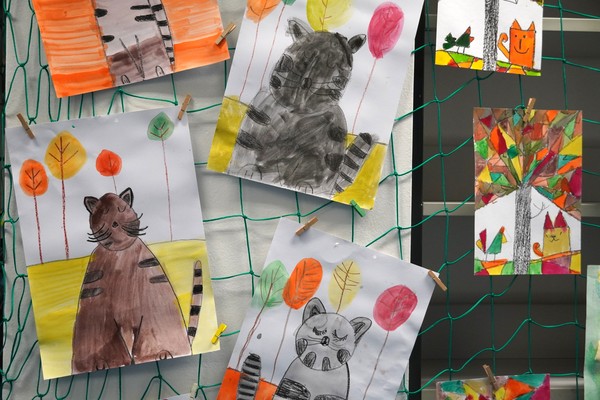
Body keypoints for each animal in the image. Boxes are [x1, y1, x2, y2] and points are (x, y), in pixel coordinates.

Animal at [71, 187, 203, 374]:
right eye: (103, 213)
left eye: (122, 209)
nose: (115, 223)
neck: (120, 255)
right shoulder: (97, 314)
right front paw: (102, 362)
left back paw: (162, 354)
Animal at [227, 18, 373, 196]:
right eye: (305, 60)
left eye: (334, 72)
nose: (306, 82)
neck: (297, 111)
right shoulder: (255, 122)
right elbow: (245, 152)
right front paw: (248, 170)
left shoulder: (331, 141)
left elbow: (320, 169)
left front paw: (304, 185)